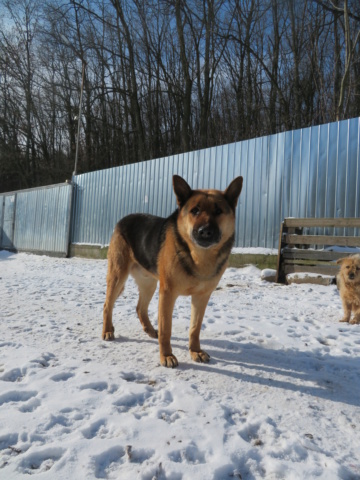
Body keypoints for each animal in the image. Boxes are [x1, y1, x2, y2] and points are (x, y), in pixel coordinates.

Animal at [101, 176, 243, 368]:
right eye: (195, 211)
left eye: (218, 211)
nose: (205, 231)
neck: (199, 256)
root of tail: (124, 219)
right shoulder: (168, 293)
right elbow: (166, 329)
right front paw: (166, 356)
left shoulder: (202, 297)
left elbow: (195, 328)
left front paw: (195, 351)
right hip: (118, 275)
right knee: (107, 305)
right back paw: (107, 331)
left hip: (149, 284)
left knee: (140, 307)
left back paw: (150, 330)